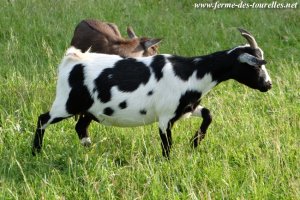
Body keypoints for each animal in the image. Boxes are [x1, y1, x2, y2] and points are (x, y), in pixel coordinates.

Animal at [32, 28, 272, 158]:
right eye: (255, 66)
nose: (268, 85)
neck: (191, 72)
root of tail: (73, 59)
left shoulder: (186, 108)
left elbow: (209, 114)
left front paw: (195, 142)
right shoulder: (165, 117)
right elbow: (167, 145)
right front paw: (169, 163)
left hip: (90, 109)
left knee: (80, 126)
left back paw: (89, 148)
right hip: (66, 104)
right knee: (43, 119)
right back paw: (36, 151)